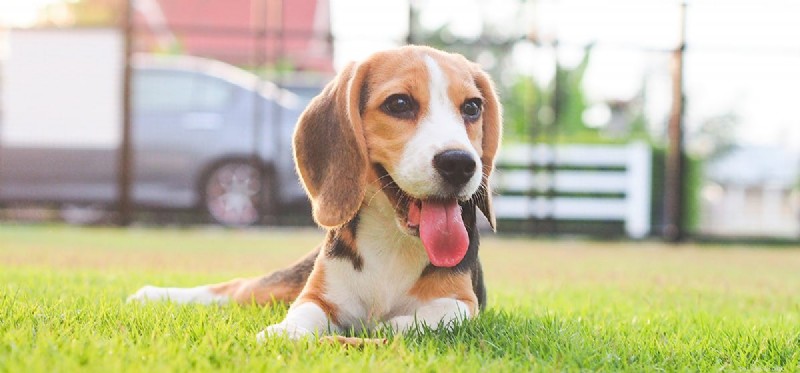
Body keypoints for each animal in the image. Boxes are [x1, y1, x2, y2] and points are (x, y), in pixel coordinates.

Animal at [129, 45, 504, 338]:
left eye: (472, 108)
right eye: (399, 104)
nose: (459, 163)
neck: (392, 242)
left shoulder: (464, 302)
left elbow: (438, 315)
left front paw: (386, 326)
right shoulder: (318, 295)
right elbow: (304, 312)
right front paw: (285, 332)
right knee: (236, 288)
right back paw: (152, 294)